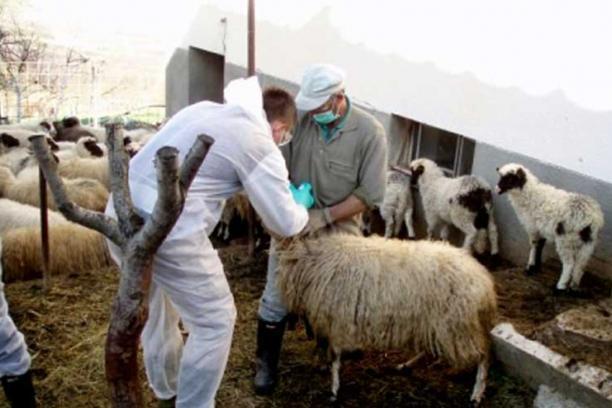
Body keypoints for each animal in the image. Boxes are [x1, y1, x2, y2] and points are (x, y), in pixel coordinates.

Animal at [278, 234, 498, 406]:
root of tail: (484, 281)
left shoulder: (338, 320)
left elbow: (334, 357)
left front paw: (334, 390)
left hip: (457, 324)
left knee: (484, 355)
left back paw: (477, 393)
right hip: (434, 322)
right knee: (430, 349)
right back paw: (406, 365)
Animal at [494, 162, 604, 290]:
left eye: (510, 179)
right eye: (501, 177)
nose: (496, 189)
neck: (529, 195)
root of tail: (591, 218)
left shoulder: (532, 228)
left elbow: (534, 246)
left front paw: (530, 267)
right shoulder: (541, 230)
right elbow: (540, 246)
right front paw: (536, 267)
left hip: (565, 239)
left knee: (569, 264)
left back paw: (560, 286)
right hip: (588, 242)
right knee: (580, 265)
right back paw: (573, 287)